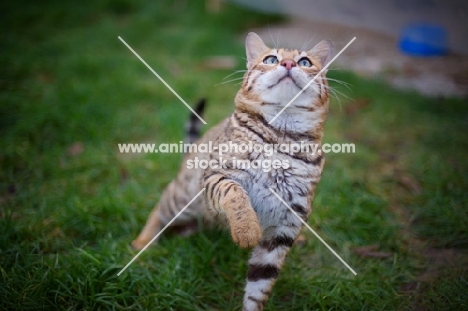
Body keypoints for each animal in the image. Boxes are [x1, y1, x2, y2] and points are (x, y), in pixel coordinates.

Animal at [133, 32, 332, 311]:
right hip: (183, 198)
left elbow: (260, 285)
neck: (281, 137)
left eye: (305, 62)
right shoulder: (216, 176)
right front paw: (246, 230)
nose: (288, 64)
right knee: (160, 207)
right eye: (271, 59)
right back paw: (143, 243)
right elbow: (235, 194)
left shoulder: (285, 226)